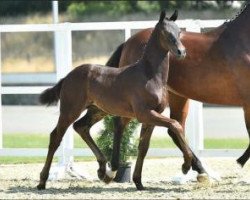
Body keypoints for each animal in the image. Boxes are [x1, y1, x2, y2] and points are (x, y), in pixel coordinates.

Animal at [37, 10, 188, 190]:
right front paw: (187, 165)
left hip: (97, 110)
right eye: (166, 33)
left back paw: (103, 170)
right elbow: (176, 124)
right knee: (56, 137)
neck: (150, 75)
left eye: (179, 32)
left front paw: (138, 181)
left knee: (81, 127)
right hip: (70, 110)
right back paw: (42, 181)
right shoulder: (144, 114)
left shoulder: (151, 116)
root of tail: (68, 76)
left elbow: (143, 147)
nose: (181, 52)